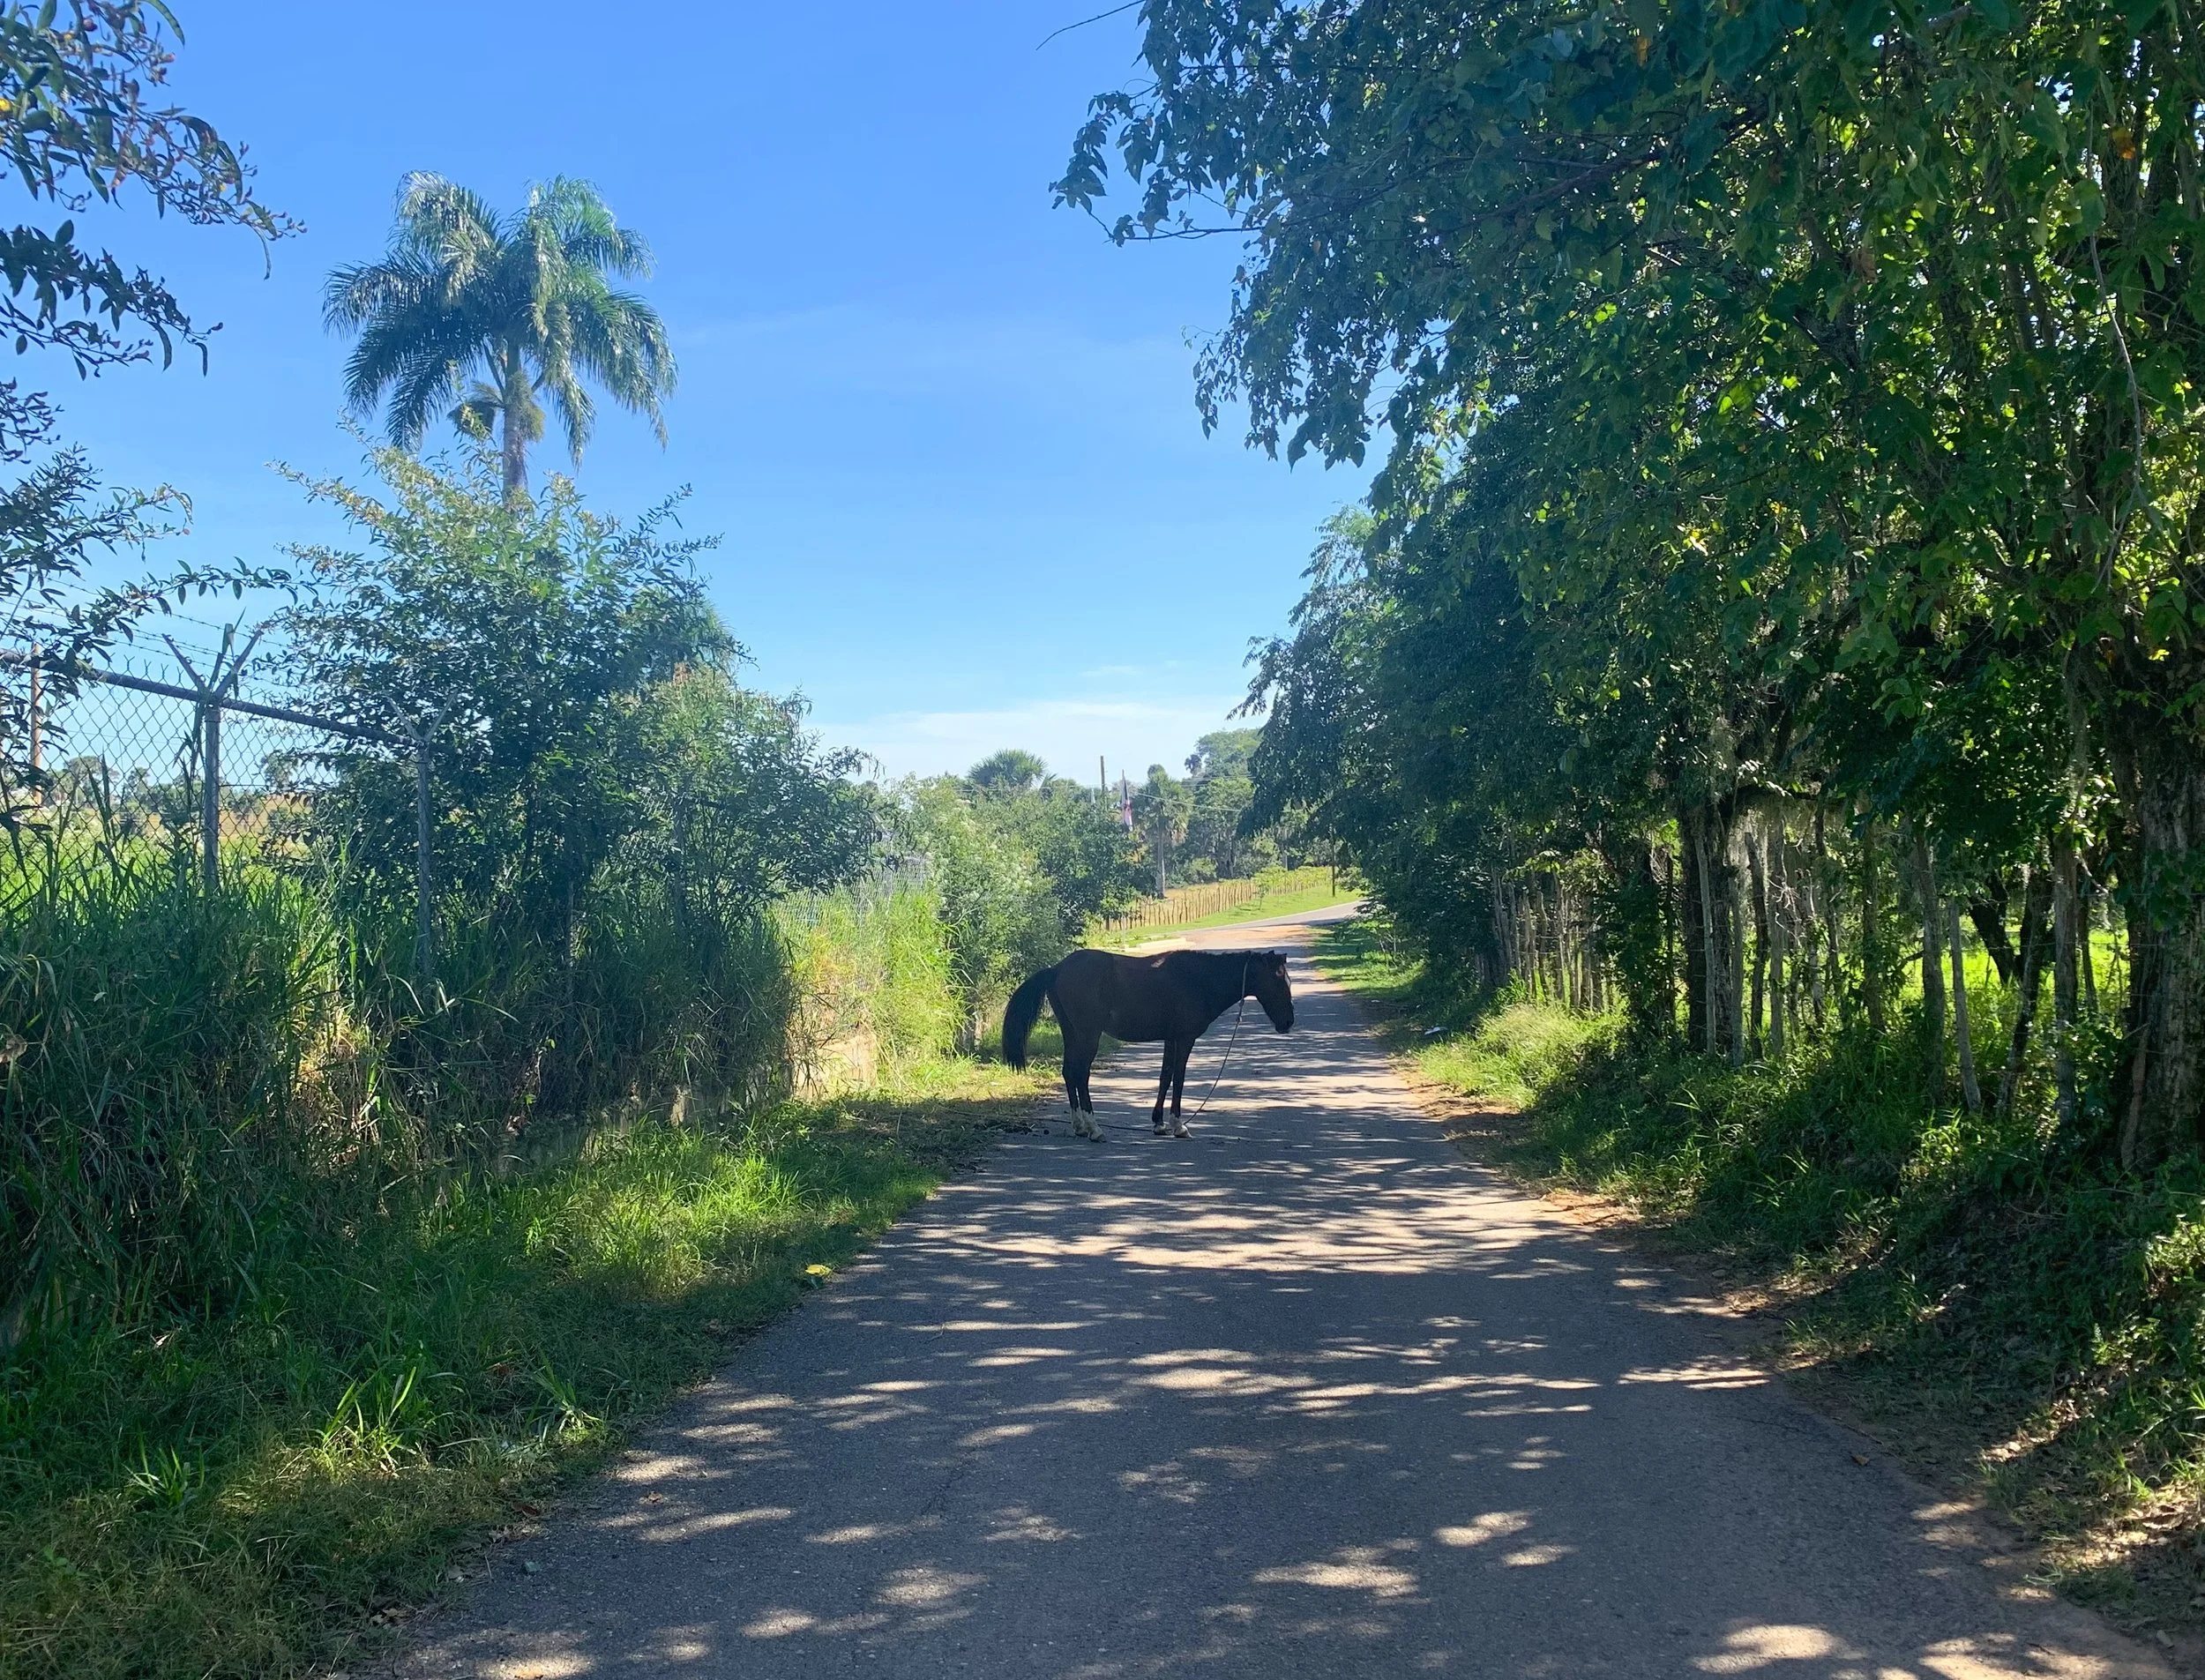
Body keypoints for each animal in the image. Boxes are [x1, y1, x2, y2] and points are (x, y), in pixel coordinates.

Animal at [1001, 947, 1295, 1139]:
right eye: (1279, 981)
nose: (1288, 1023)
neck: (1198, 980)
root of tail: (1058, 969)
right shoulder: (1184, 1039)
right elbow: (1179, 1078)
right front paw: (1179, 1126)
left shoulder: (1170, 1039)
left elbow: (1165, 1077)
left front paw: (1159, 1124)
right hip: (1087, 1035)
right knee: (1080, 1074)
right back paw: (1094, 1128)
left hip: (1071, 1034)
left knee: (1068, 1073)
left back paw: (1079, 1126)